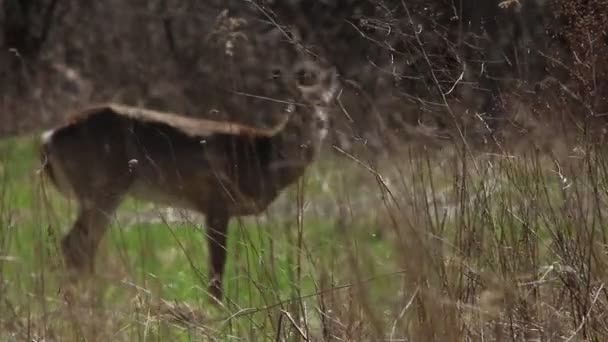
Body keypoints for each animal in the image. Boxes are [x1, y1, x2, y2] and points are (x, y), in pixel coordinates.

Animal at [39, 16, 340, 300]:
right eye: (297, 108)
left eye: (326, 105)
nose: (318, 124)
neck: (263, 155)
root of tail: (49, 138)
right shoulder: (217, 200)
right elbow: (217, 268)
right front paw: (217, 310)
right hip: (104, 187)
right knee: (75, 245)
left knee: (82, 246)